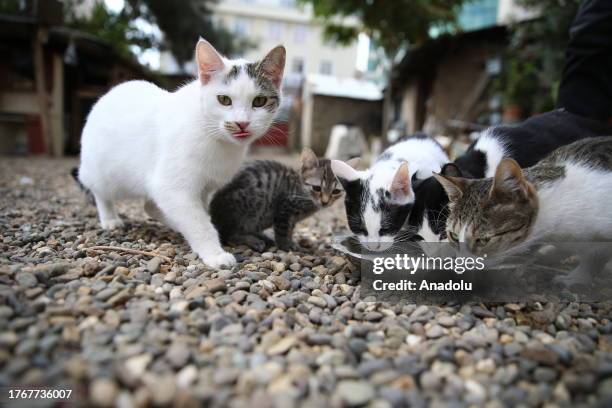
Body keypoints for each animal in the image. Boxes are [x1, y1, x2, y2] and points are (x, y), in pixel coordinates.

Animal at [77, 38, 286, 268]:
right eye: (224, 99)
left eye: (259, 101)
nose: (242, 123)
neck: (215, 137)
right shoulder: (173, 187)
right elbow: (197, 221)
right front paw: (215, 253)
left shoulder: (202, 187)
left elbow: (198, 213)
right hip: (102, 172)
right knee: (102, 192)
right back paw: (110, 219)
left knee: (152, 206)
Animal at [209, 148, 344, 252]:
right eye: (317, 188)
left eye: (336, 191)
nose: (325, 202)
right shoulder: (284, 209)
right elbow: (282, 231)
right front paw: (286, 245)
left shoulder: (291, 218)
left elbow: (289, 230)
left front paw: (290, 242)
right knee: (228, 234)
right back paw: (253, 240)